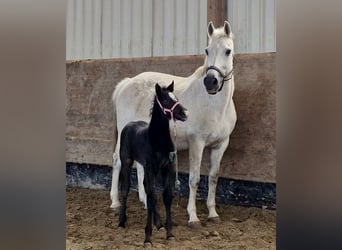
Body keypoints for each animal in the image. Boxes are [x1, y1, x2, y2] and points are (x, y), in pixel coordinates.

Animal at [111, 20, 236, 226]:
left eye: (228, 51)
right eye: (207, 50)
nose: (211, 81)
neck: (214, 105)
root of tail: (126, 84)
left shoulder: (221, 145)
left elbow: (213, 177)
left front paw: (212, 213)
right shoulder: (197, 143)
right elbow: (194, 179)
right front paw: (193, 217)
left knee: (140, 166)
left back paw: (145, 201)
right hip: (124, 136)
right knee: (117, 161)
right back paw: (114, 202)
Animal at [117, 81, 187, 246]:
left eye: (176, 97)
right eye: (166, 100)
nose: (185, 114)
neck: (158, 141)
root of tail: (130, 124)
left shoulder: (166, 168)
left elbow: (165, 196)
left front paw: (169, 233)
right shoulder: (151, 168)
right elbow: (152, 197)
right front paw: (147, 238)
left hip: (145, 167)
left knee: (146, 188)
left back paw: (159, 224)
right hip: (127, 161)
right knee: (126, 188)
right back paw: (122, 222)